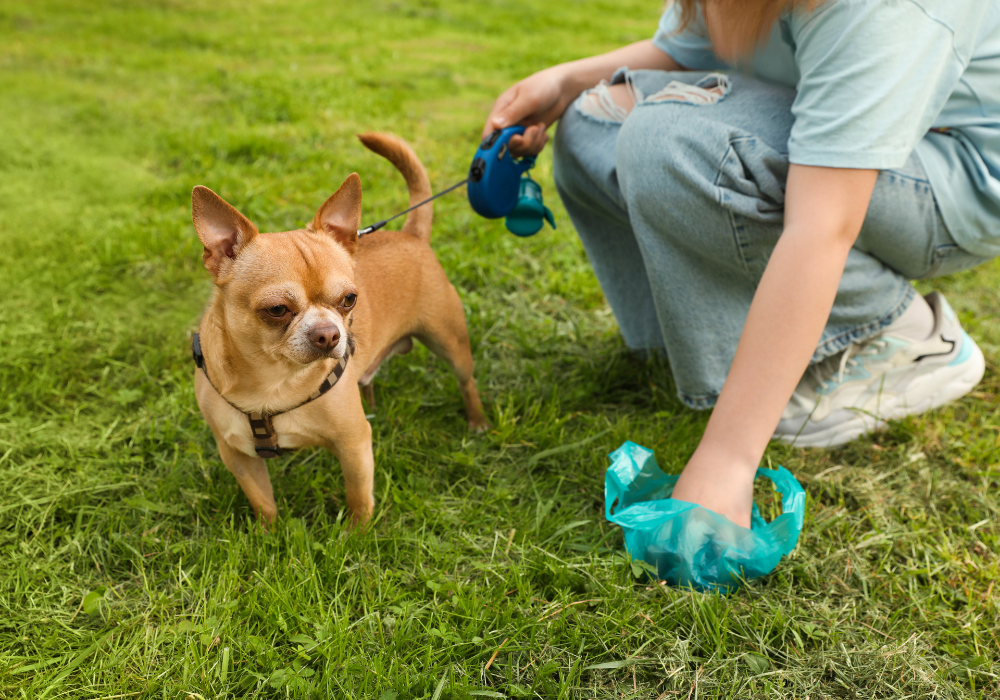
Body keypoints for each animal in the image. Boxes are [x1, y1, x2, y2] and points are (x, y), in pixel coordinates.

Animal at [191, 133, 488, 524]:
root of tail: (411, 235)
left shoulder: (354, 444)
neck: (273, 382)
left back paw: (477, 420)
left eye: (349, 299)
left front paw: (357, 533)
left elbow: (358, 496)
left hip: (449, 342)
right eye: (276, 310)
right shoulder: (237, 456)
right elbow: (263, 502)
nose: (329, 334)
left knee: (467, 381)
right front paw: (268, 533)